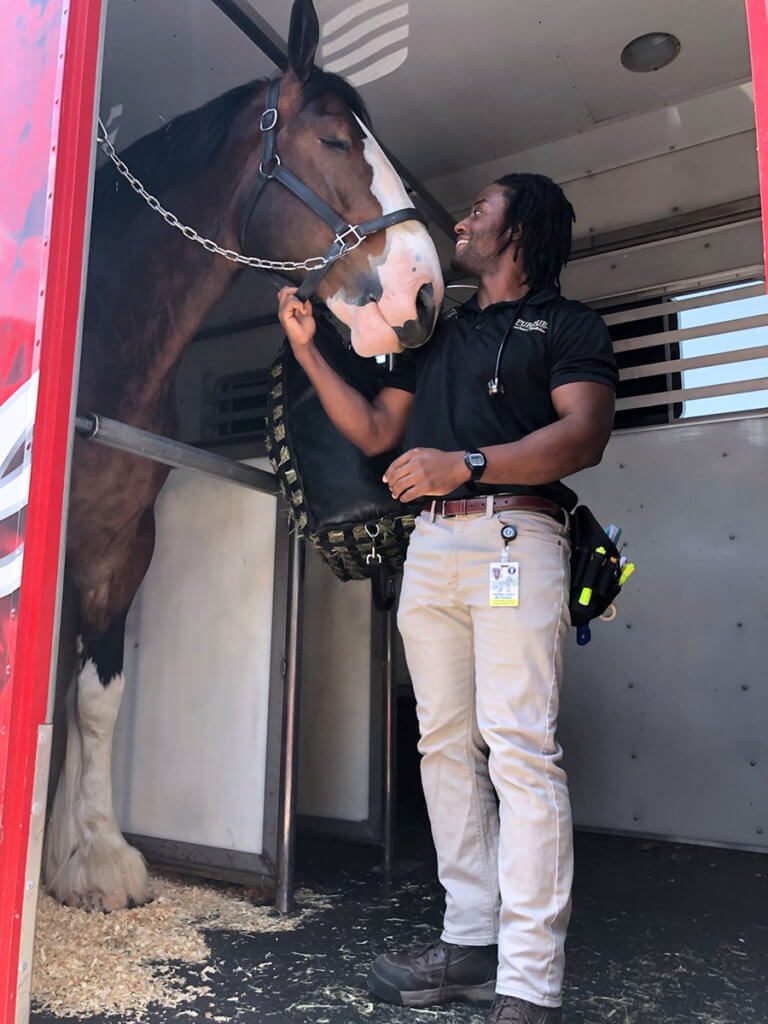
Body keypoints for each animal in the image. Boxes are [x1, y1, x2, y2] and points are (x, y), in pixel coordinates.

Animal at [43, 0, 444, 913]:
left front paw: (91, 857)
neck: (109, 335)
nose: (425, 293)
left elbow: (93, 696)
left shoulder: (120, 546)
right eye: (332, 139)